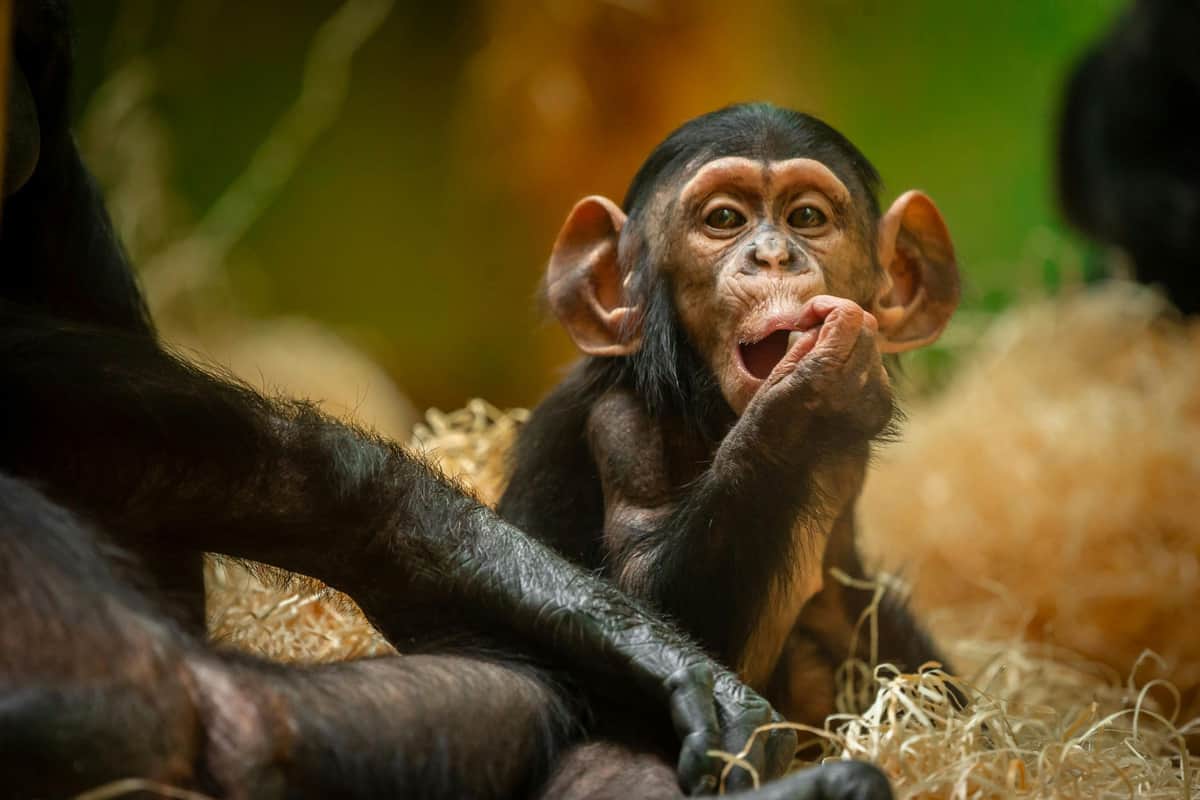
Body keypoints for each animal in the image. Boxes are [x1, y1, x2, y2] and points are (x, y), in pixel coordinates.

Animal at [498, 103, 960, 795]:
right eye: (723, 220)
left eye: (806, 218)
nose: (772, 255)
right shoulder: (621, 427)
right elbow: (653, 604)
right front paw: (806, 399)